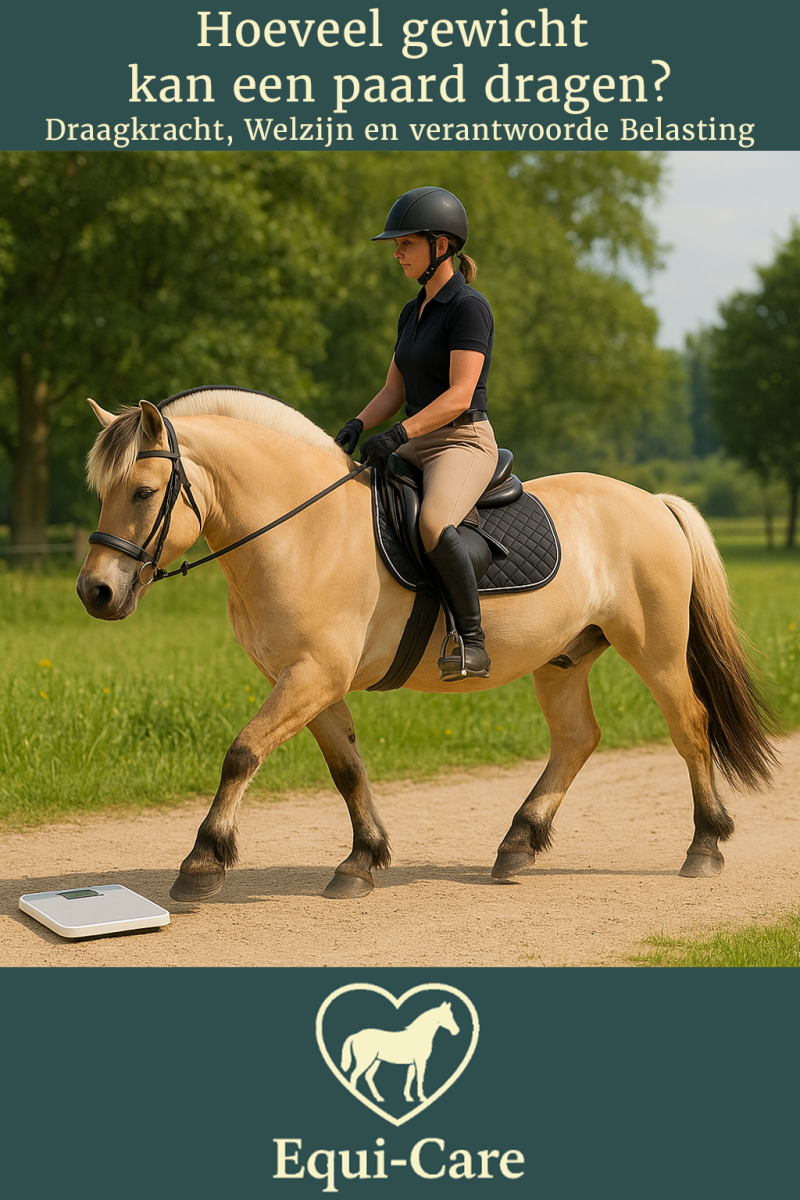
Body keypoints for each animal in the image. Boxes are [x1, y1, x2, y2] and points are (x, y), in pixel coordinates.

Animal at [76, 386, 777, 904]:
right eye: (101, 492)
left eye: (143, 491)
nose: (95, 592)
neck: (304, 530)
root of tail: (652, 502)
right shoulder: (309, 681)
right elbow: (347, 769)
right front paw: (361, 861)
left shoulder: (312, 675)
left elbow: (242, 753)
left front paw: (202, 861)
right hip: (563, 658)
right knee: (578, 739)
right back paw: (518, 843)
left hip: (655, 649)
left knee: (689, 725)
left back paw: (705, 846)